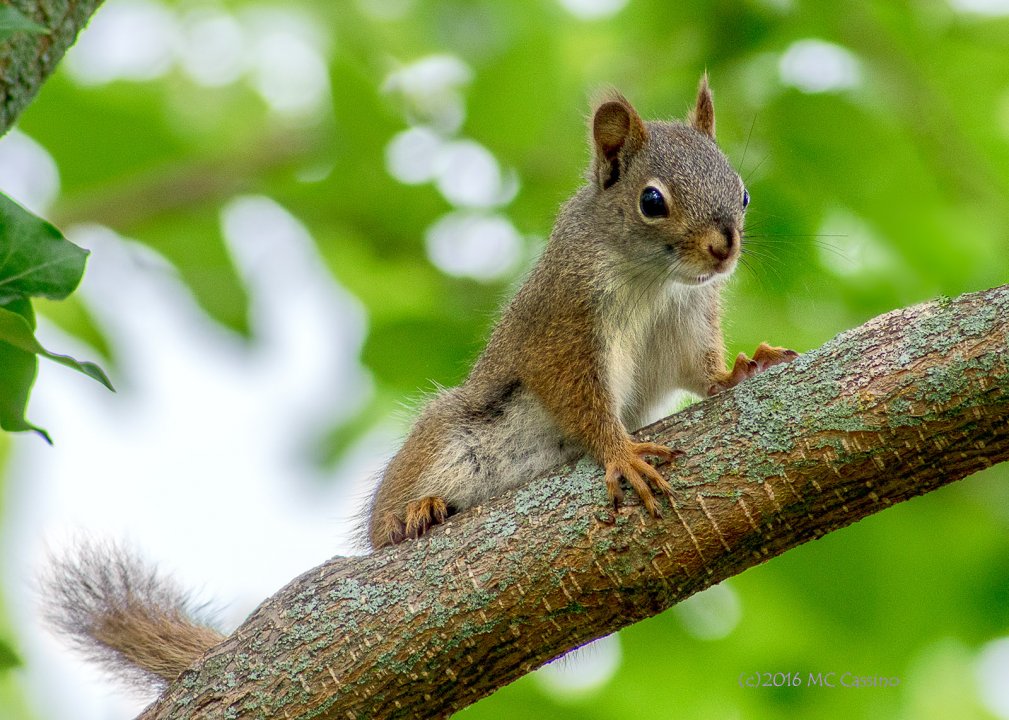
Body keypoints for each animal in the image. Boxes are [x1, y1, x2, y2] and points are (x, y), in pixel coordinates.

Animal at [41, 75, 795, 693]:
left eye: (742, 189)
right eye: (651, 201)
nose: (724, 246)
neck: (652, 281)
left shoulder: (684, 322)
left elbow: (696, 370)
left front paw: (742, 369)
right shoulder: (562, 325)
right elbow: (577, 397)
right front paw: (620, 451)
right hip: (446, 436)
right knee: (386, 523)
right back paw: (413, 514)